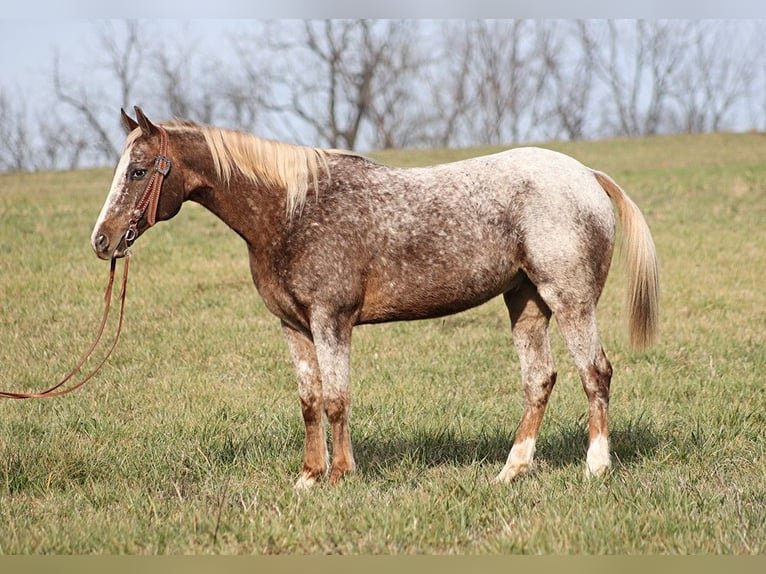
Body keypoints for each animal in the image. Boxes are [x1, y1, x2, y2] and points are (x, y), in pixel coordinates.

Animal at [93, 109, 660, 490]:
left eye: (138, 171)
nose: (103, 240)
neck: (292, 211)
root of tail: (586, 175)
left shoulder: (331, 320)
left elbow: (336, 399)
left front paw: (341, 475)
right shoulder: (294, 327)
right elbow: (309, 401)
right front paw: (308, 477)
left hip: (570, 300)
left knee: (595, 373)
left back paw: (596, 467)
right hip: (526, 303)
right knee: (539, 380)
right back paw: (510, 471)